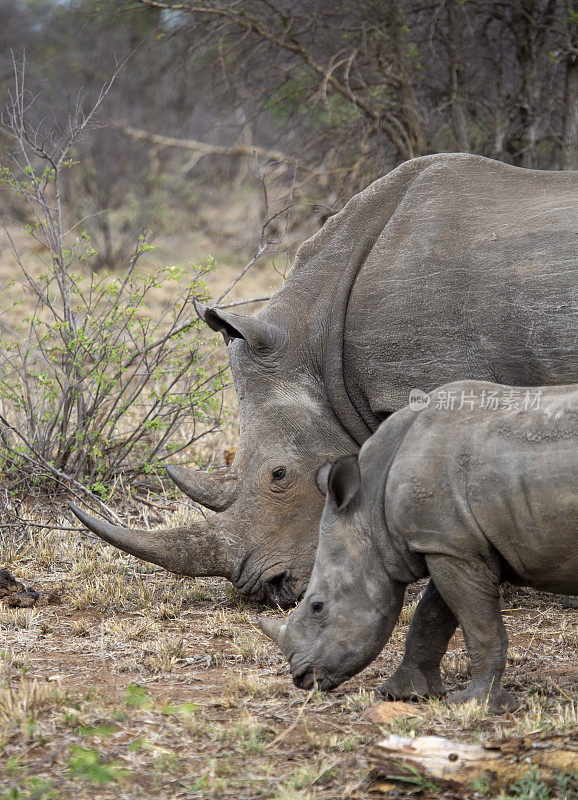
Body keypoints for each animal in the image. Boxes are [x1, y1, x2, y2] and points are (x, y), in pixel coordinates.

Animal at [260, 382, 576, 712]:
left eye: (318, 606)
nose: (301, 678)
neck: (370, 505)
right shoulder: (448, 542)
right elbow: (431, 616)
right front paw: (405, 694)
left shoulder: (450, 547)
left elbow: (478, 626)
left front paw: (477, 704)